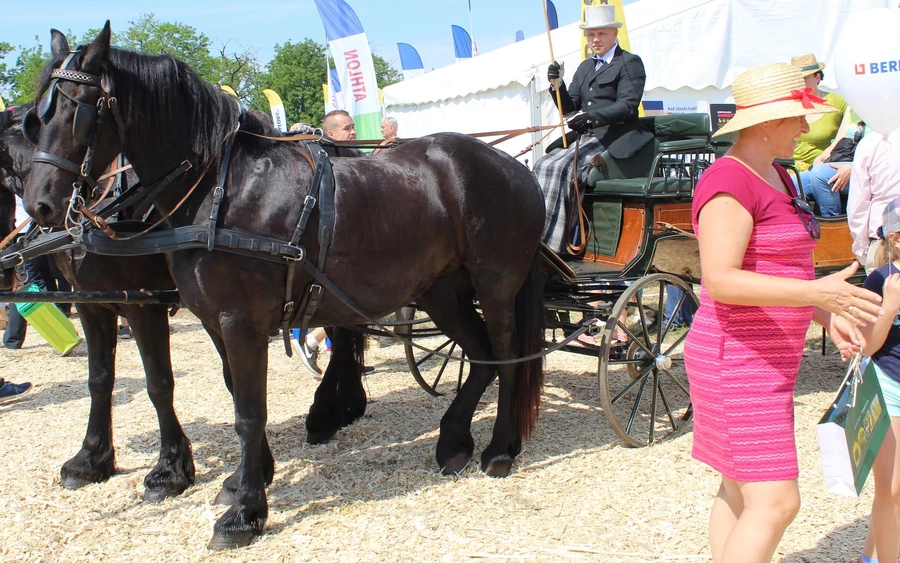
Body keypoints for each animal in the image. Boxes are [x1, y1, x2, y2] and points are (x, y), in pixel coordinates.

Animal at [0, 103, 194, 500]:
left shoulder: (142, 305)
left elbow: (158, 383)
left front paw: (170, 469)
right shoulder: (92, 305)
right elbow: (100, 380)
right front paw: (90, 459)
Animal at [24, 26, 544, 552]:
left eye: (78, 109)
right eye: (33, 119)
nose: (39, 204)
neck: (221, 188)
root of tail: (513, 166)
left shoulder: (229, 320)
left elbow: (247, 412)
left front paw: (242, 511)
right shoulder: (205, 319)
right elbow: (214, 391)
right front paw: (241, 479)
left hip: (496, 286)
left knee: (504, 355)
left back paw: (499, 450)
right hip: (442, 292)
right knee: (478, 355)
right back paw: (453, 442)